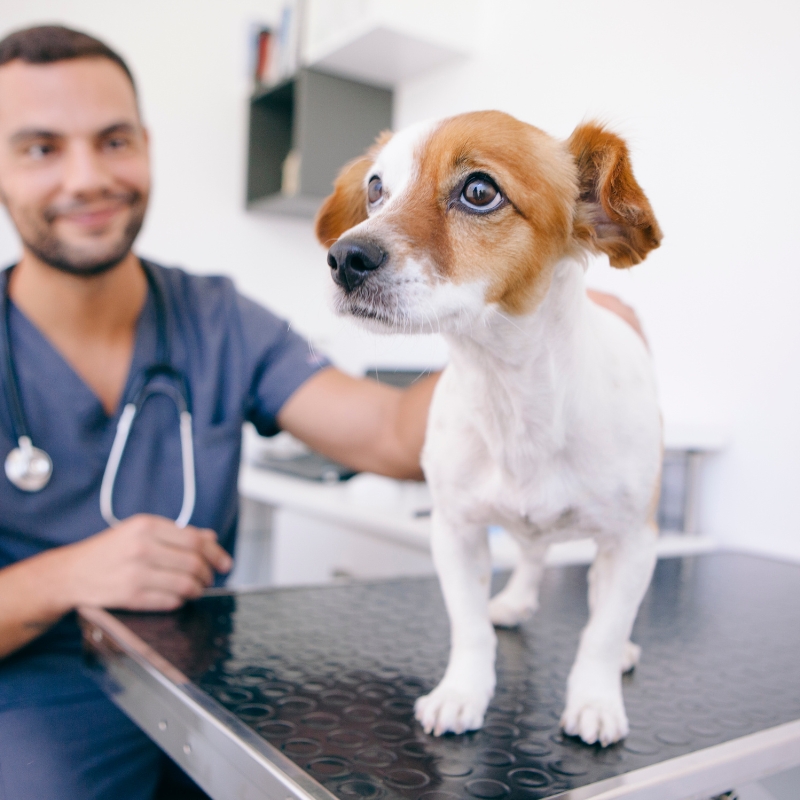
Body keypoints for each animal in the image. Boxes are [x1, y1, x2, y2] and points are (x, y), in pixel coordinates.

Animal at [312, 109, 664, 748]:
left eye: (479, 191)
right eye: (376, 189)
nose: (344, 257)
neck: (512, 393)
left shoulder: (633, 543)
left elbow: (599, 634)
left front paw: (595, 700)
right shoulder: (456, 531)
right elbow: (469, 628)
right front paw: (462, 694)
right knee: (532, 554)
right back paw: (516, 599)